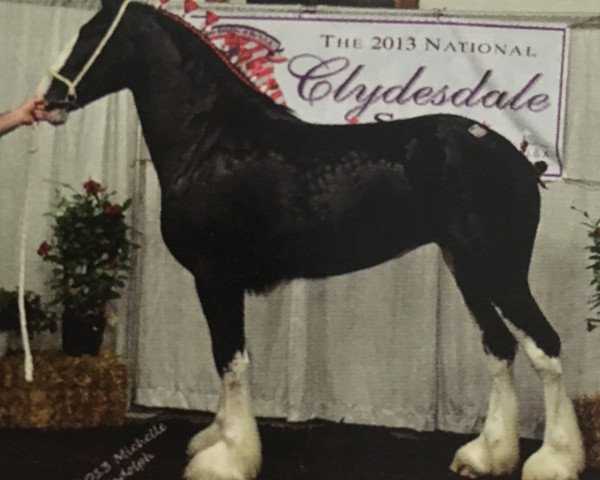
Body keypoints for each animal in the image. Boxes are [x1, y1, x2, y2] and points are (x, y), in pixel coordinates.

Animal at [41, 0, 580, 480]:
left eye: (89, 35)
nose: (47, 101)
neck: (212, 141)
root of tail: (520, 162)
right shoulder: (219, 283)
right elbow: (226, 360)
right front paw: (218, 439)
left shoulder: (216, 278)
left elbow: (230, 359)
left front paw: (227, 459)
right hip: (466, 268)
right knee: (500, 347)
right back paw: (486, 456)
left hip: (497, 269)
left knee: (545, 346)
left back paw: (554, 462)